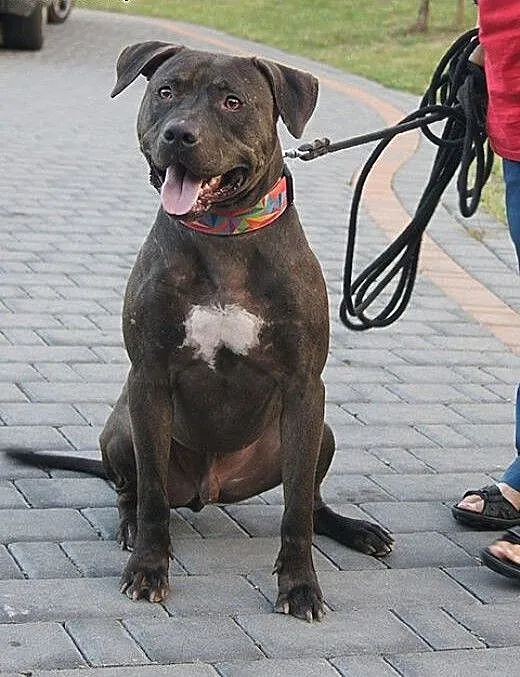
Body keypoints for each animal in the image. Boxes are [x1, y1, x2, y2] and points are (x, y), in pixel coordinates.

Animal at [7, 42, 393, 621]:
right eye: (166, 91)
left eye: (233, 101)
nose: (179, 134)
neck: (225, 236)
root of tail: (209, 491)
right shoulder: (148, 380)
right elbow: (151, 496)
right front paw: (148, 567)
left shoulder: (305, 386)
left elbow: (296, 510)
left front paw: (300, 584)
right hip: (122, 427)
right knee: (134, 489)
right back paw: (129, 524)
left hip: (319, 432)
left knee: (310, 499)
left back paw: (355, 530)